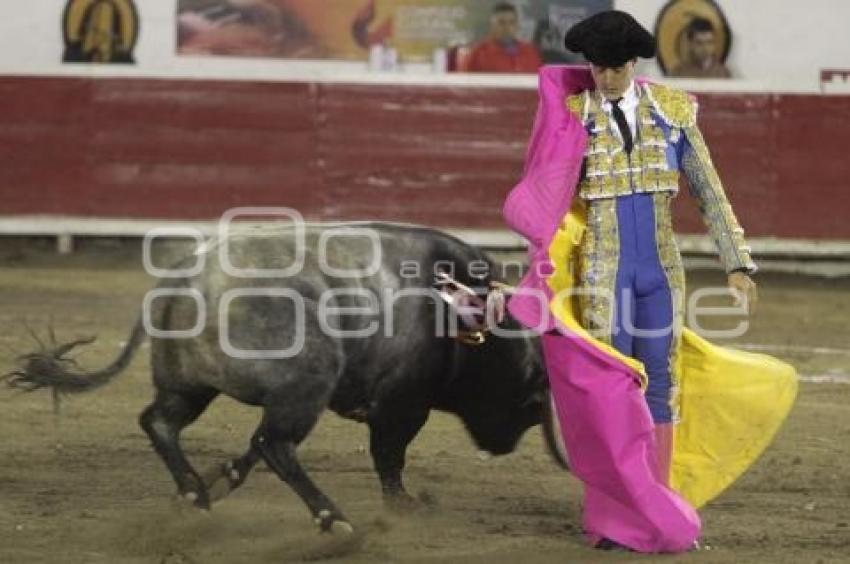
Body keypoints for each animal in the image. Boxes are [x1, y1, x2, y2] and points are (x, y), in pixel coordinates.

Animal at [6, 223, 568, 536]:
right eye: (528, 397)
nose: (503, 446)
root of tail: (186, 277)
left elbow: (247, 452)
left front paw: (224, 476)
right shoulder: (401, 404)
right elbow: (389, 455)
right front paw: (404, 505)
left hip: (192, 385)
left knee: (164, 424)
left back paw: (195, 494)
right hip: (307, 382)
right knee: (274, 444)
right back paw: (331, 519)